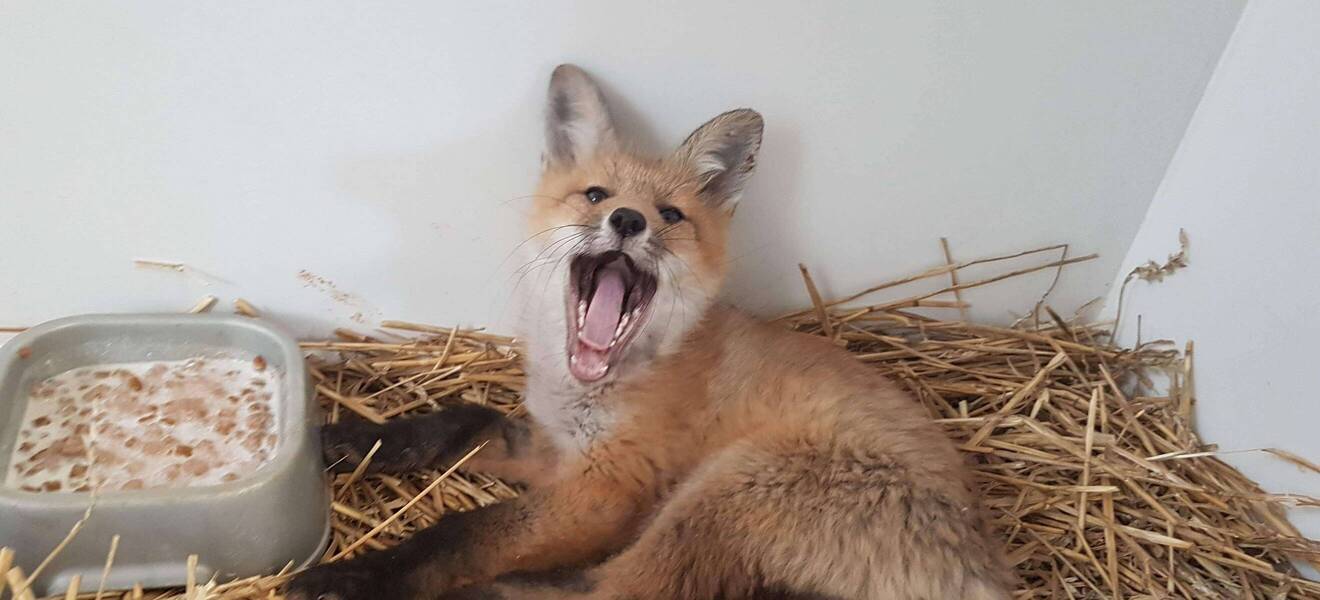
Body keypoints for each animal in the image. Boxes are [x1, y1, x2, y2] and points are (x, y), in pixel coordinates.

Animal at [286, 64, 1011, 600]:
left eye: (669, 214)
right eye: (596, 196)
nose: (629, 221)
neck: (597, 383)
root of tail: (986, 568)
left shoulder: (607, 488)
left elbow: (464, 530)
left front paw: (364, 574)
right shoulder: (555, 451)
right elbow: (458, 423)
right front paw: (348, 440)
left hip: (725, 487)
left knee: (618, 591)